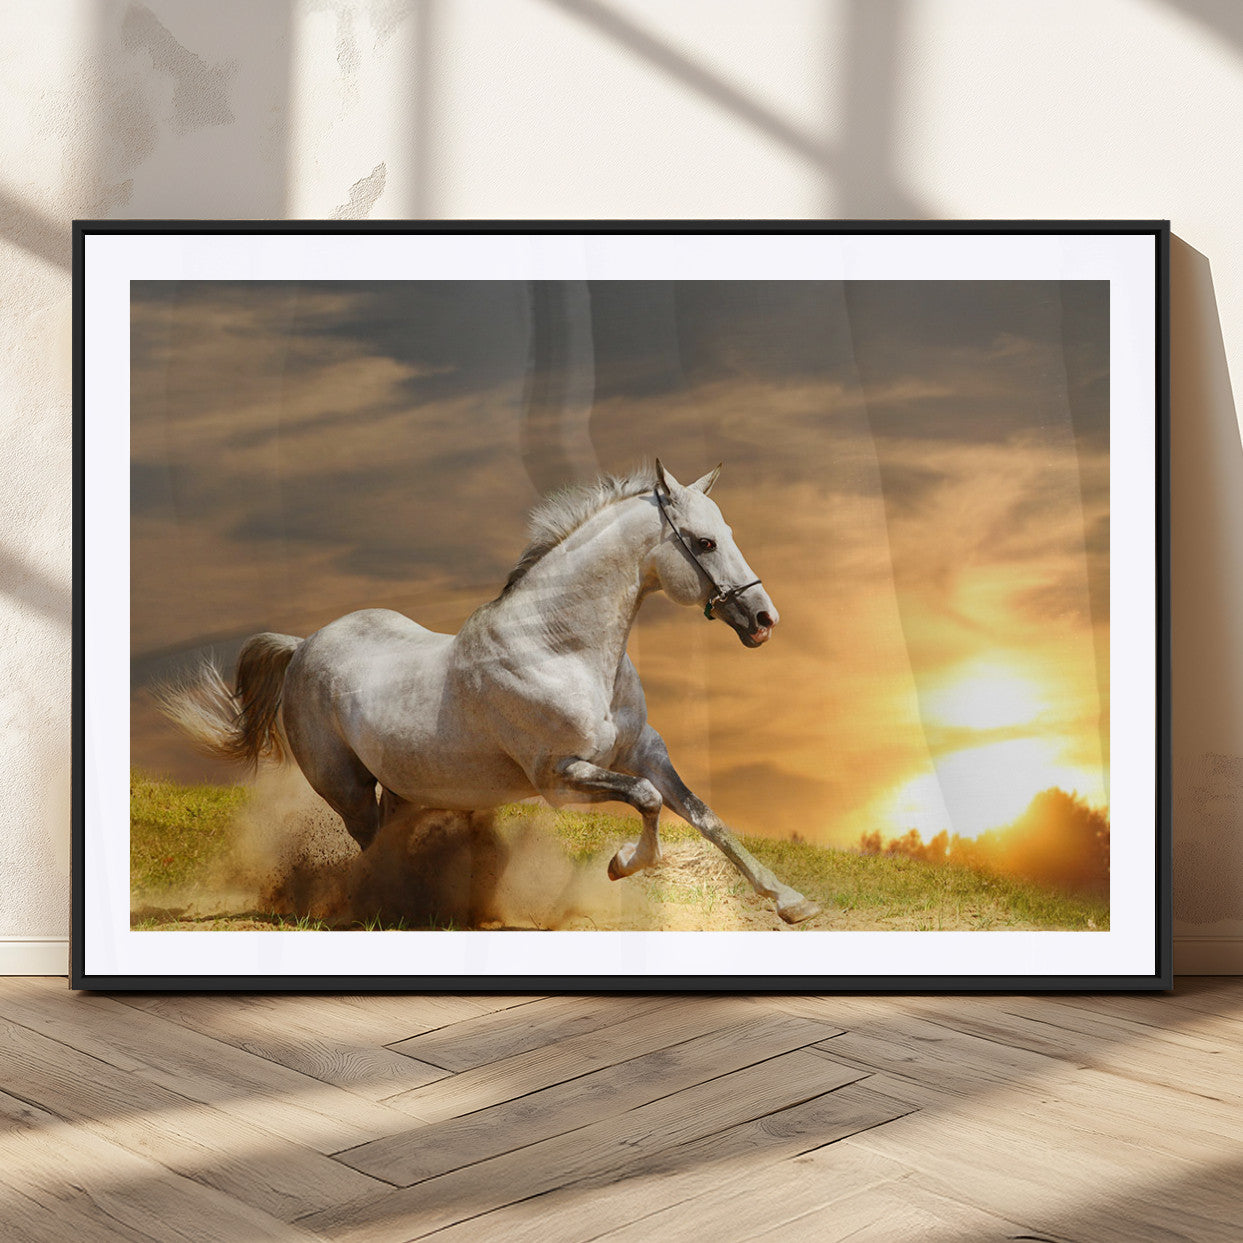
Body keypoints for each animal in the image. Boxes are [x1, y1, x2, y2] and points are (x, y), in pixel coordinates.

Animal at [161, 460, 821, 924]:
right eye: (704, 542)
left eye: (727, 531)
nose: (764, 619)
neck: (561, 648)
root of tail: (302, 646)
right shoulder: (560, 777)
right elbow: (648, 800)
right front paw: (620, 866)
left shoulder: (645, 752)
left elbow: (705, 816)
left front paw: (792, 902)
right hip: (345, 788)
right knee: (370, 845)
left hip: (407, 787)